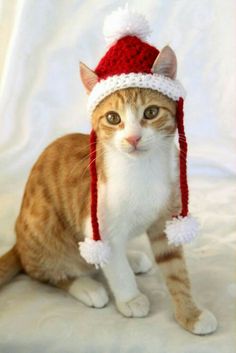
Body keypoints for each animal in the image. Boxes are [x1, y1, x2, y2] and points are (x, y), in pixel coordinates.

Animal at [0, 46, 218, 332]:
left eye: (151, 112)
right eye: (113, 118)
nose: (133, 138)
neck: (142, 170)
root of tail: (18, 244)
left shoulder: (165, 220)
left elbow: (175, 270)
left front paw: (190, 314)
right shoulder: (98, 225)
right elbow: (116, 267)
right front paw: (131, 298)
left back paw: (132, 259)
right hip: (45, 230)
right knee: (43, 272)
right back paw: (87, 286)